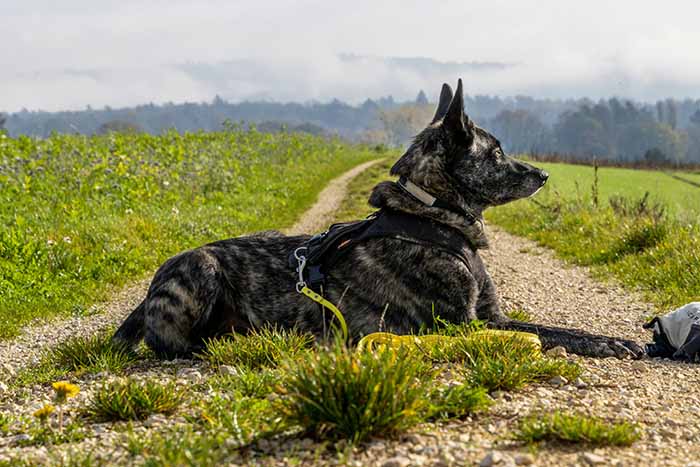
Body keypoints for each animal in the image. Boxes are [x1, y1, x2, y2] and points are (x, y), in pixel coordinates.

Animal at [113, 79, 644, 362]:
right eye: (495, 153)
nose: (544, 174)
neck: (433, 216)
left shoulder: (491, 316)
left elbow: (558, 328)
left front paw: (612, 339)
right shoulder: (462, 326)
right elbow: (544, 333)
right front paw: (612, 344)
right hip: (200, 267)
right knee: (170, 345)